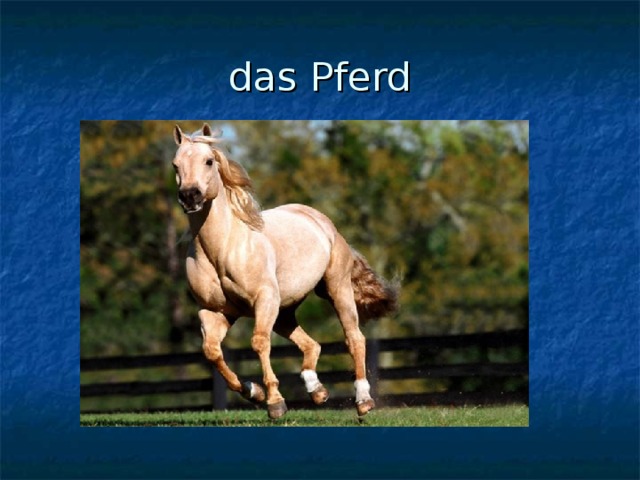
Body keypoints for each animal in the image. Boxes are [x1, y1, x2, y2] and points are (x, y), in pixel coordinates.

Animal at [172, 123, 399, 419]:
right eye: (176, 165)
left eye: (209, 161)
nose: (190, 196)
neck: (222, 248)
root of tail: (323, 222)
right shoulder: (214, 312)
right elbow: (211, 351)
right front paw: (254, 392)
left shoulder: (264, 300)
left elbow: (258, 342)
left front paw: (275, 402)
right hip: (284, 311)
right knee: (311, 344)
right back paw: (317, 391)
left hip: (336, 290)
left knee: (354, 338)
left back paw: (363, 400)